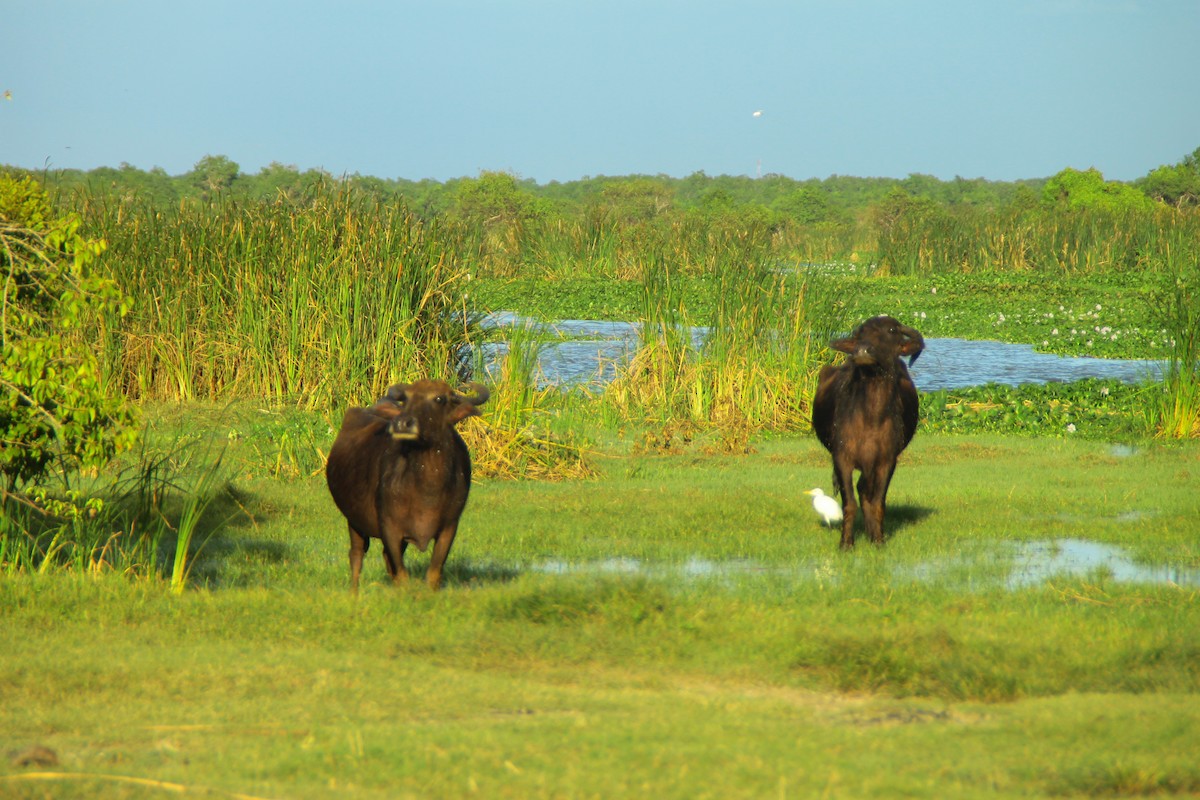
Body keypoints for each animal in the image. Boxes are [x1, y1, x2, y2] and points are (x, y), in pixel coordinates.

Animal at [325, 379, 489, 590]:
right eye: (406, 399)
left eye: (439, 398)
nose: (402, 423)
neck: (428, 489)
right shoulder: (389, 528)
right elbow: (402, 574)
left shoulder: (449, 528)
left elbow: (433, 573)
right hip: (354, 520)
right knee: (356, 555)